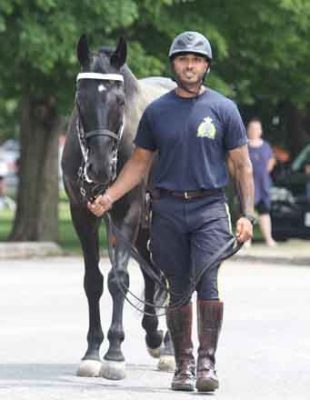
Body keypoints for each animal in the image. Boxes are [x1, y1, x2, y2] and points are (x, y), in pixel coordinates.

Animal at [61, 34, 176, 378]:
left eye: (120, 101)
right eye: (80, 99)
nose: (98, 167)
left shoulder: (127, 211)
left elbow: (118, 279)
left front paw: (114, 353)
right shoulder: (82, 213)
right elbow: (93, 281)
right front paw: (92, 352)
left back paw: (168, 350)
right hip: (145, 227)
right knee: (153, 274)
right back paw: (154, 335)